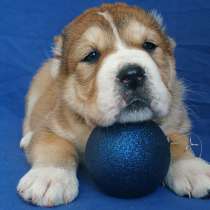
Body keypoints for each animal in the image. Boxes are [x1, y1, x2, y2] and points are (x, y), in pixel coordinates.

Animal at [17, 2, 210, 207]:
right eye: (91, 56)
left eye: (149, 45)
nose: (132, 75)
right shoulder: (53, 125)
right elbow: (54, 144)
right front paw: (49, 176)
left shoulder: (176, 120)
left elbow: (177, 140)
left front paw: (192, 168)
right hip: (36, 88)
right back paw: (28, 139)